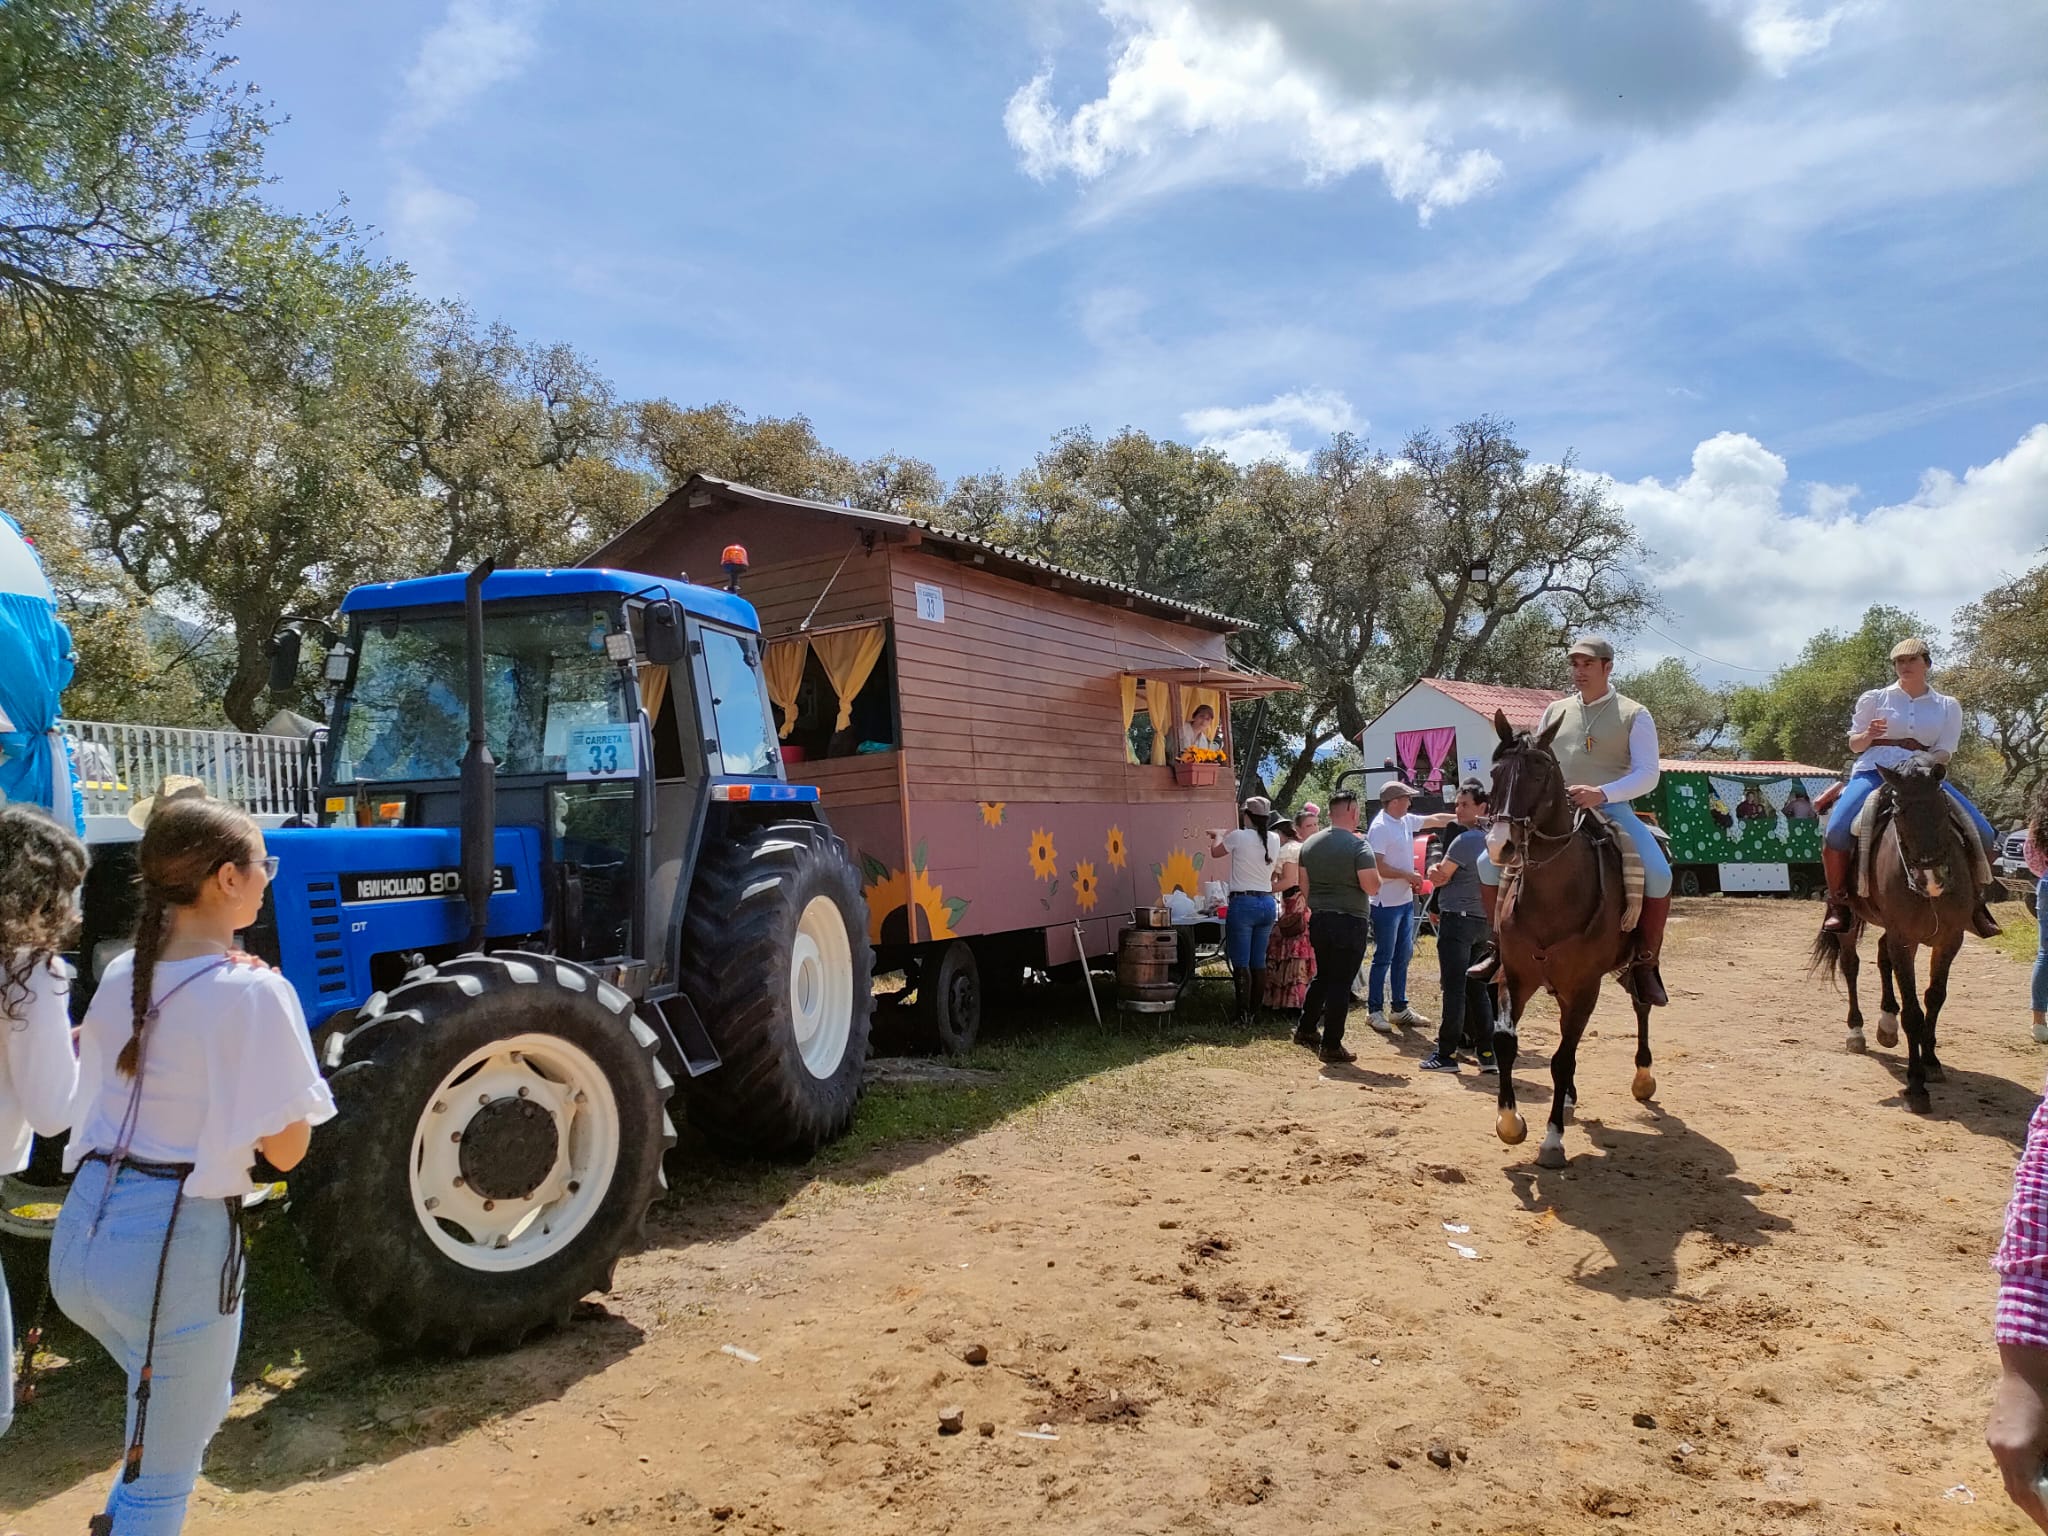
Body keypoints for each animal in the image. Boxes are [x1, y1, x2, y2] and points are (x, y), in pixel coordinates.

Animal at [1482, 716, 1654, 1171]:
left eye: (1539, 772)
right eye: (1495, 773)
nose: (1500, 845)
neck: (1553, 895)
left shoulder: (1584, 987)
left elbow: (1561, 1059)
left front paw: (1552, 1140)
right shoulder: (1515, 976)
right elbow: (1505, 1041)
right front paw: (1511, 1123)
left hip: (1628, 970)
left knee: (1641, 1007)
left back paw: (1643, 1077)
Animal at [1818, 761, 1974, 1114]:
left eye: (1943, 807)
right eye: (1899, 811)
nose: (1932, 878)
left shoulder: (1950, 939)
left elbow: (1935, 998)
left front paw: (1931, 1061)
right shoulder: (1904, 938)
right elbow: (1913, 1013)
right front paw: (1916, 1086)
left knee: (1881, 955)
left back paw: (1886, 1024)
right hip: (1850, 920)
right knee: (1851, 965)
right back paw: (1857, 1032)